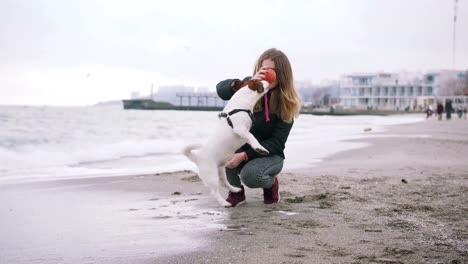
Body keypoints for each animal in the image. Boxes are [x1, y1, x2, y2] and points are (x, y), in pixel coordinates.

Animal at [182, 79, 270, 207]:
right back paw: (224, 202)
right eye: (260, 81)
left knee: (224, 183)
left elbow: (250, 137)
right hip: (212, 175)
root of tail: (197, 157)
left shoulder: (244, 132)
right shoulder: (240, 129)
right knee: (214, 191)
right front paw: (259, 148)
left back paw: (235, 189)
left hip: (221, 170)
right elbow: (252, 136)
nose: (268, 79)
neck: (241, 105)